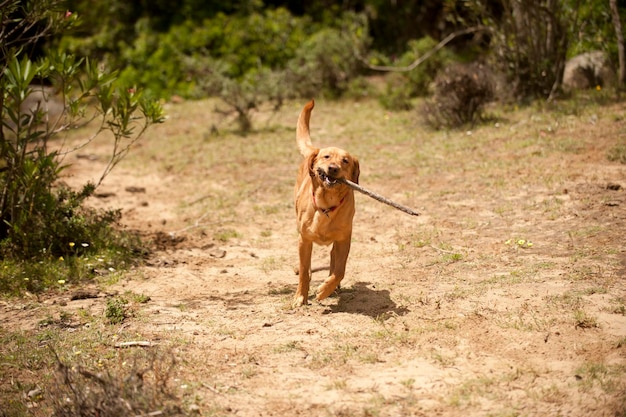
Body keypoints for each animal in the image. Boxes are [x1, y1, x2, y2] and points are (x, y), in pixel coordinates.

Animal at [292, 98, 358, 304]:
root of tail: (314, 149)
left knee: (333, 259)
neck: (326, 205)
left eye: (345, 161)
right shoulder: (304, 240)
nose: (333, 168)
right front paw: (300, 297)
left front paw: (325, 289)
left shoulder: (344, 239)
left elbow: (340, 270)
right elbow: (304, 271)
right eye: (326, 156)